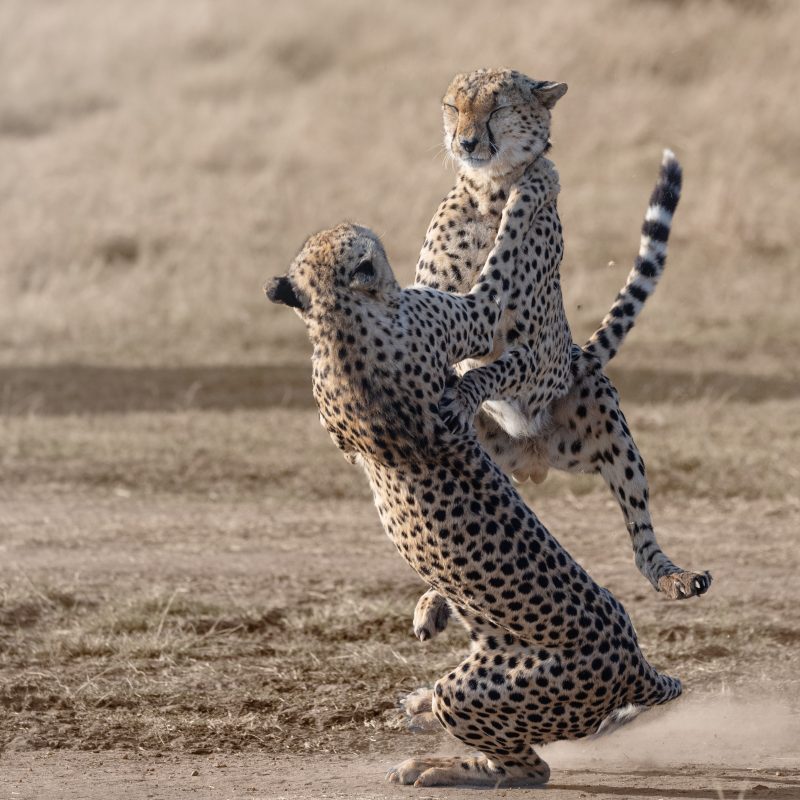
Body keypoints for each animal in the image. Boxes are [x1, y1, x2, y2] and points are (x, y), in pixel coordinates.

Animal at [268, 170, 680, 788]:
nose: (360, 222)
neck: (334, 317)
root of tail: (634, 663)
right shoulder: (475, 313)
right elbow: (499, 267)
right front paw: (526, 198)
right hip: (479, 692)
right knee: (529, 768)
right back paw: (435, 760)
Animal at [416, 70, 708, 624]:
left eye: (497, 108)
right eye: (452, 106)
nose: (464, 143)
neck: (489, 191)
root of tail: (531, 458)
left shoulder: (535, 353)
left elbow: (487, 369)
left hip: (605, 420)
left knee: (640, 536)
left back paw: (674, 575)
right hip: (484, 457)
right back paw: (436, 599)